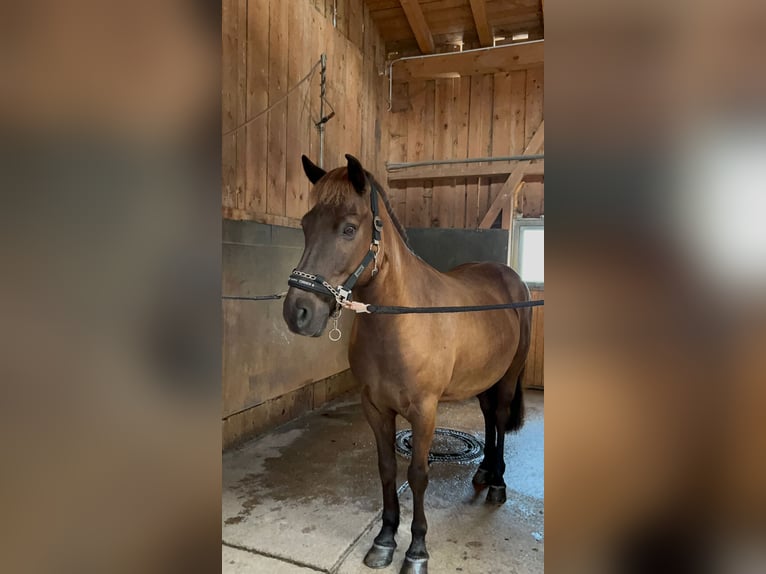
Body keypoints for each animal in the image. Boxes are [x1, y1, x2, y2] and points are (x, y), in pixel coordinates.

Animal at [284, 155, 532, 574]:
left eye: (349, 228)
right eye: (305, 225)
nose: (298, 312)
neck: (400, 321)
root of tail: (509, 277)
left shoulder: (424, 411)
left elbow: (417, 475)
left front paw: (416, 550)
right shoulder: (375, 408)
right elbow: (387, 469)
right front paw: (385, 540)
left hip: (508, 377)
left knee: (498, 418)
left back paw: (497, 483)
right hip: (483, 379)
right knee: (486, 416)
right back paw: (483, 472)